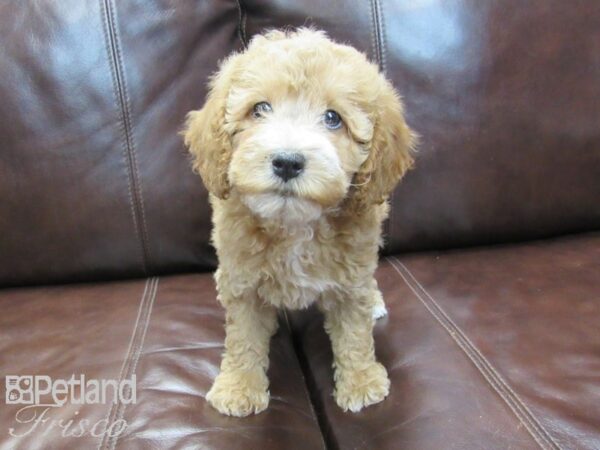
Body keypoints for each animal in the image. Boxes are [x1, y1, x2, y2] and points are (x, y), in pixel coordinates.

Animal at [183, 27, 414, 414]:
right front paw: (239, 388)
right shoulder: (242, 281)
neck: (293, 224)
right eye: (260, 108)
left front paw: (361, 382)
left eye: (333, 118)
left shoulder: (351, 275)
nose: (287, 162)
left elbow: (354, 331)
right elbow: (243, 336)